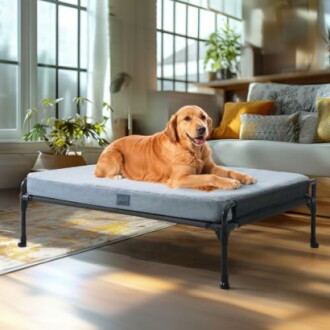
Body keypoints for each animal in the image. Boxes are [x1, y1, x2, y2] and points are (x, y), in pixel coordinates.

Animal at [94, 105, 256, 191]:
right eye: (187, 118)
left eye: (203, 117)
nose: (202, 129)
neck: (192, 151)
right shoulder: (179, 179)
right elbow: (210, 177)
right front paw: (230, 183)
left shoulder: (210, 166)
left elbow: (229, 171)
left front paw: (245, 177)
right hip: (115, 154)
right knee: (102, 174)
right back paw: (117, 176)